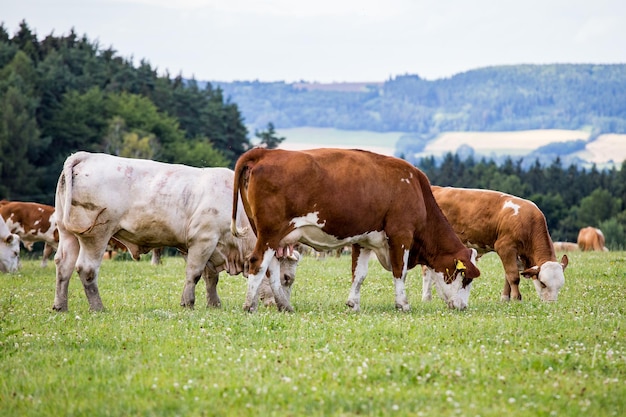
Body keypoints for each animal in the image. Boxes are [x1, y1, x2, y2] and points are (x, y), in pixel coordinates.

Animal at [52, 151, 298, 310]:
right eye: (286, 278)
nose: (279, 306)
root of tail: (85, 156)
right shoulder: (203, 240)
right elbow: (195, 274)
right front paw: (188, 303)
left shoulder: (208, 247)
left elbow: (210, 278)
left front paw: (213, 304)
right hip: (96, 233)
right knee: (86, 269)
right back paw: (98, 307)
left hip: (67, 233)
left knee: (63, 266)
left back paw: (60, 306)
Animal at [232, 147, 480, 312]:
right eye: (466, 278)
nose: (463, 306)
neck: (415, 188)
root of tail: (266, 152)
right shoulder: (401, 235)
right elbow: (400, 271)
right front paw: (403, 304)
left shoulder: (363, 240)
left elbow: (358, 274)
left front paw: (353, 304)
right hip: (270, 233)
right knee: (257, 262)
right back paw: (249, 305)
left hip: (271, 236)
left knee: (271, 267)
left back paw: (284, 305)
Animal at [422, 187, 568, 300]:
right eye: (543, 283)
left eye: (560, 286)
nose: (551, 304)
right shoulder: (505, 247)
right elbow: (513, 276)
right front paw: (516, 299)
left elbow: (508, 276)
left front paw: (505, 299)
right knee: (426, 270)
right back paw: (426, 298)